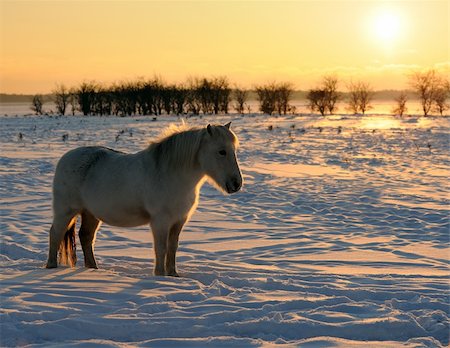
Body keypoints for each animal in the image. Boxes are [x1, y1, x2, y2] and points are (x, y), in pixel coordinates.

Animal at [46, 123, 243, 278]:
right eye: (221, 152)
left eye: (234, 151)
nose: (236, 184)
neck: (172, 174)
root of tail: (66, 158)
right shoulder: (160, 221)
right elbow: (161, 248)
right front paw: (160, 275)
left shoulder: (178, 221)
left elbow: (173, 247)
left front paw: (173, 275)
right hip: (66, 211)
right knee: (55, 233)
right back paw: (51, 266)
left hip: (91, 213)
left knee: (86, 237)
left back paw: (93, 268)